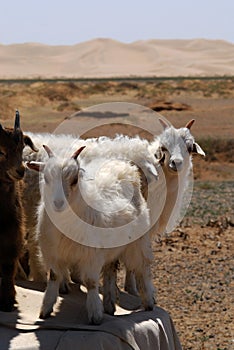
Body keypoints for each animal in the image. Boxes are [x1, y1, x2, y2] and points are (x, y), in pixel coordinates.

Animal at [26, 145, 155, 326]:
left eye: (74, 180)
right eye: (46, 178)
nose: (58, 203)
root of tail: (124, 167)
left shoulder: (91, 256)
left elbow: (91, 282)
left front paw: (95, 313)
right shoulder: (52, 254)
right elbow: (54, 277)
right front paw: (46, 308)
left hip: (138, 242)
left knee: (144, 268)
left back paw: (148, 301)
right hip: (111, 247)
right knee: (110, 270)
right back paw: (109, 304)